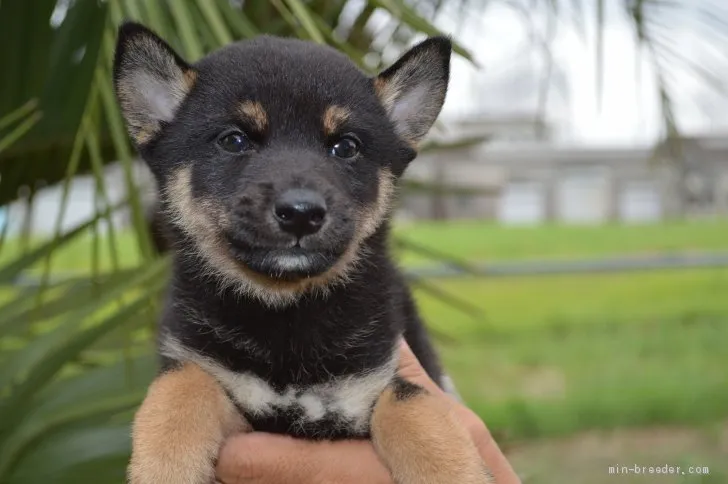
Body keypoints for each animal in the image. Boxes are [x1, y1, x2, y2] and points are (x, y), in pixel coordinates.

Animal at [114, 21, 492, 484]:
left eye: (345, 147)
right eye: (234, 140)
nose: (301, 213)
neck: (287, 315)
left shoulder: (377, 380)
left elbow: (416, 408)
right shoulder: (212, 375)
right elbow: (179, 388)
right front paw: (165, 466)